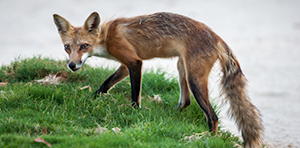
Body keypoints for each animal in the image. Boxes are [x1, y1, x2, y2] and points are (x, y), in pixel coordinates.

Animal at [53, 12, 262, 147]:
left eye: (84, 46)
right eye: (67, 47)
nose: (72, 65)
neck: (106, 36)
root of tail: (216, 36)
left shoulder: (134, 62)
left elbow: (134, 96)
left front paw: (135, 116)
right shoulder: (125, 65)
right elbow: (105, 84)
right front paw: (92, 99)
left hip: (194, 79)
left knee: (213, 117)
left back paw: (208, 139)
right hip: (182, 69)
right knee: (185, 102)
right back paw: (170, 116)